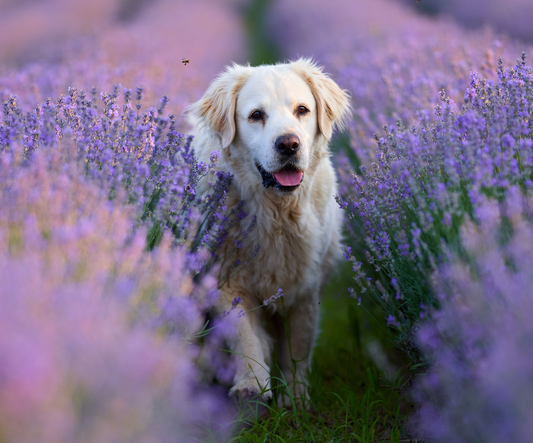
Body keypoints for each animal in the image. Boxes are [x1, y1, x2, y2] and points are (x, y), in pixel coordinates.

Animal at [187, 59, 350, 406]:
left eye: (302, 110)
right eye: (256, 115)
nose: (288, 144)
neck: (277, 214)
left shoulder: (305, 289)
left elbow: (297, 349)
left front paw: (296, 397)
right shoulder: (227, 280)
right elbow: (245, 336)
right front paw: (252, 385)